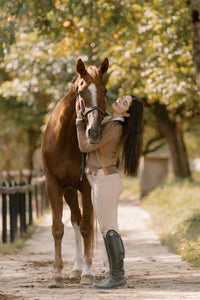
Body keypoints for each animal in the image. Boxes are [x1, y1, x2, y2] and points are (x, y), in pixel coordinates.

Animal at [41, 58, 108, 286]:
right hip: (70, 191)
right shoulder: (53, 186)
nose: (94, 132)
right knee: (76, 220)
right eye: (80, 91)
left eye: (104, 90)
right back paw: (76, 268)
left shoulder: (87, 187)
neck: (67, 140)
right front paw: (57, 273)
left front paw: (88, 273)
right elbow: (59, 228)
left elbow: (88, 227)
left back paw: (103, 265)